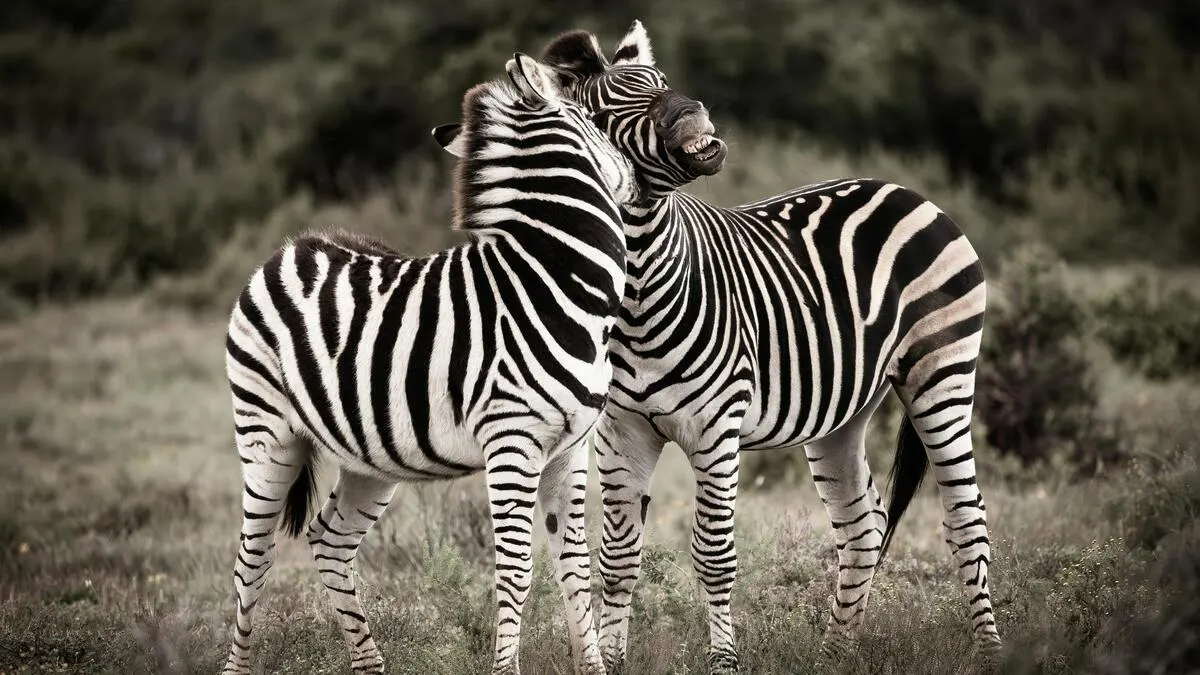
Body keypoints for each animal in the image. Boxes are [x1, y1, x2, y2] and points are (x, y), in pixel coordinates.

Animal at [221, 53, 638, 675]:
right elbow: (516, 572)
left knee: (329, 539)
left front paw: (592, 667)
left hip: (370, 458)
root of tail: (293, 246)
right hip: (265, 435)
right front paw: (505, 669)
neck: (559, 284)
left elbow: (575, 567)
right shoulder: (511, 443)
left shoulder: (571, 447)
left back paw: (370, 664)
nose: (634, 179)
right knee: (252, 561)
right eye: (593, 119)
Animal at [444, 23, 1006, 673]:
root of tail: (902, 189)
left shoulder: (716, 429)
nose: (692, 112)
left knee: (966, 518)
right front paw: (613, 659)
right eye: (606, 113)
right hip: (843, 411)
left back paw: (990, 652)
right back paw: (834, 653)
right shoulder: (620, 432)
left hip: (942, 374)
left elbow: (714, 557)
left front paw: (723, 662)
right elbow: (616, 560)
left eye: (660, 82)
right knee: (863, 525)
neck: (637, 293)